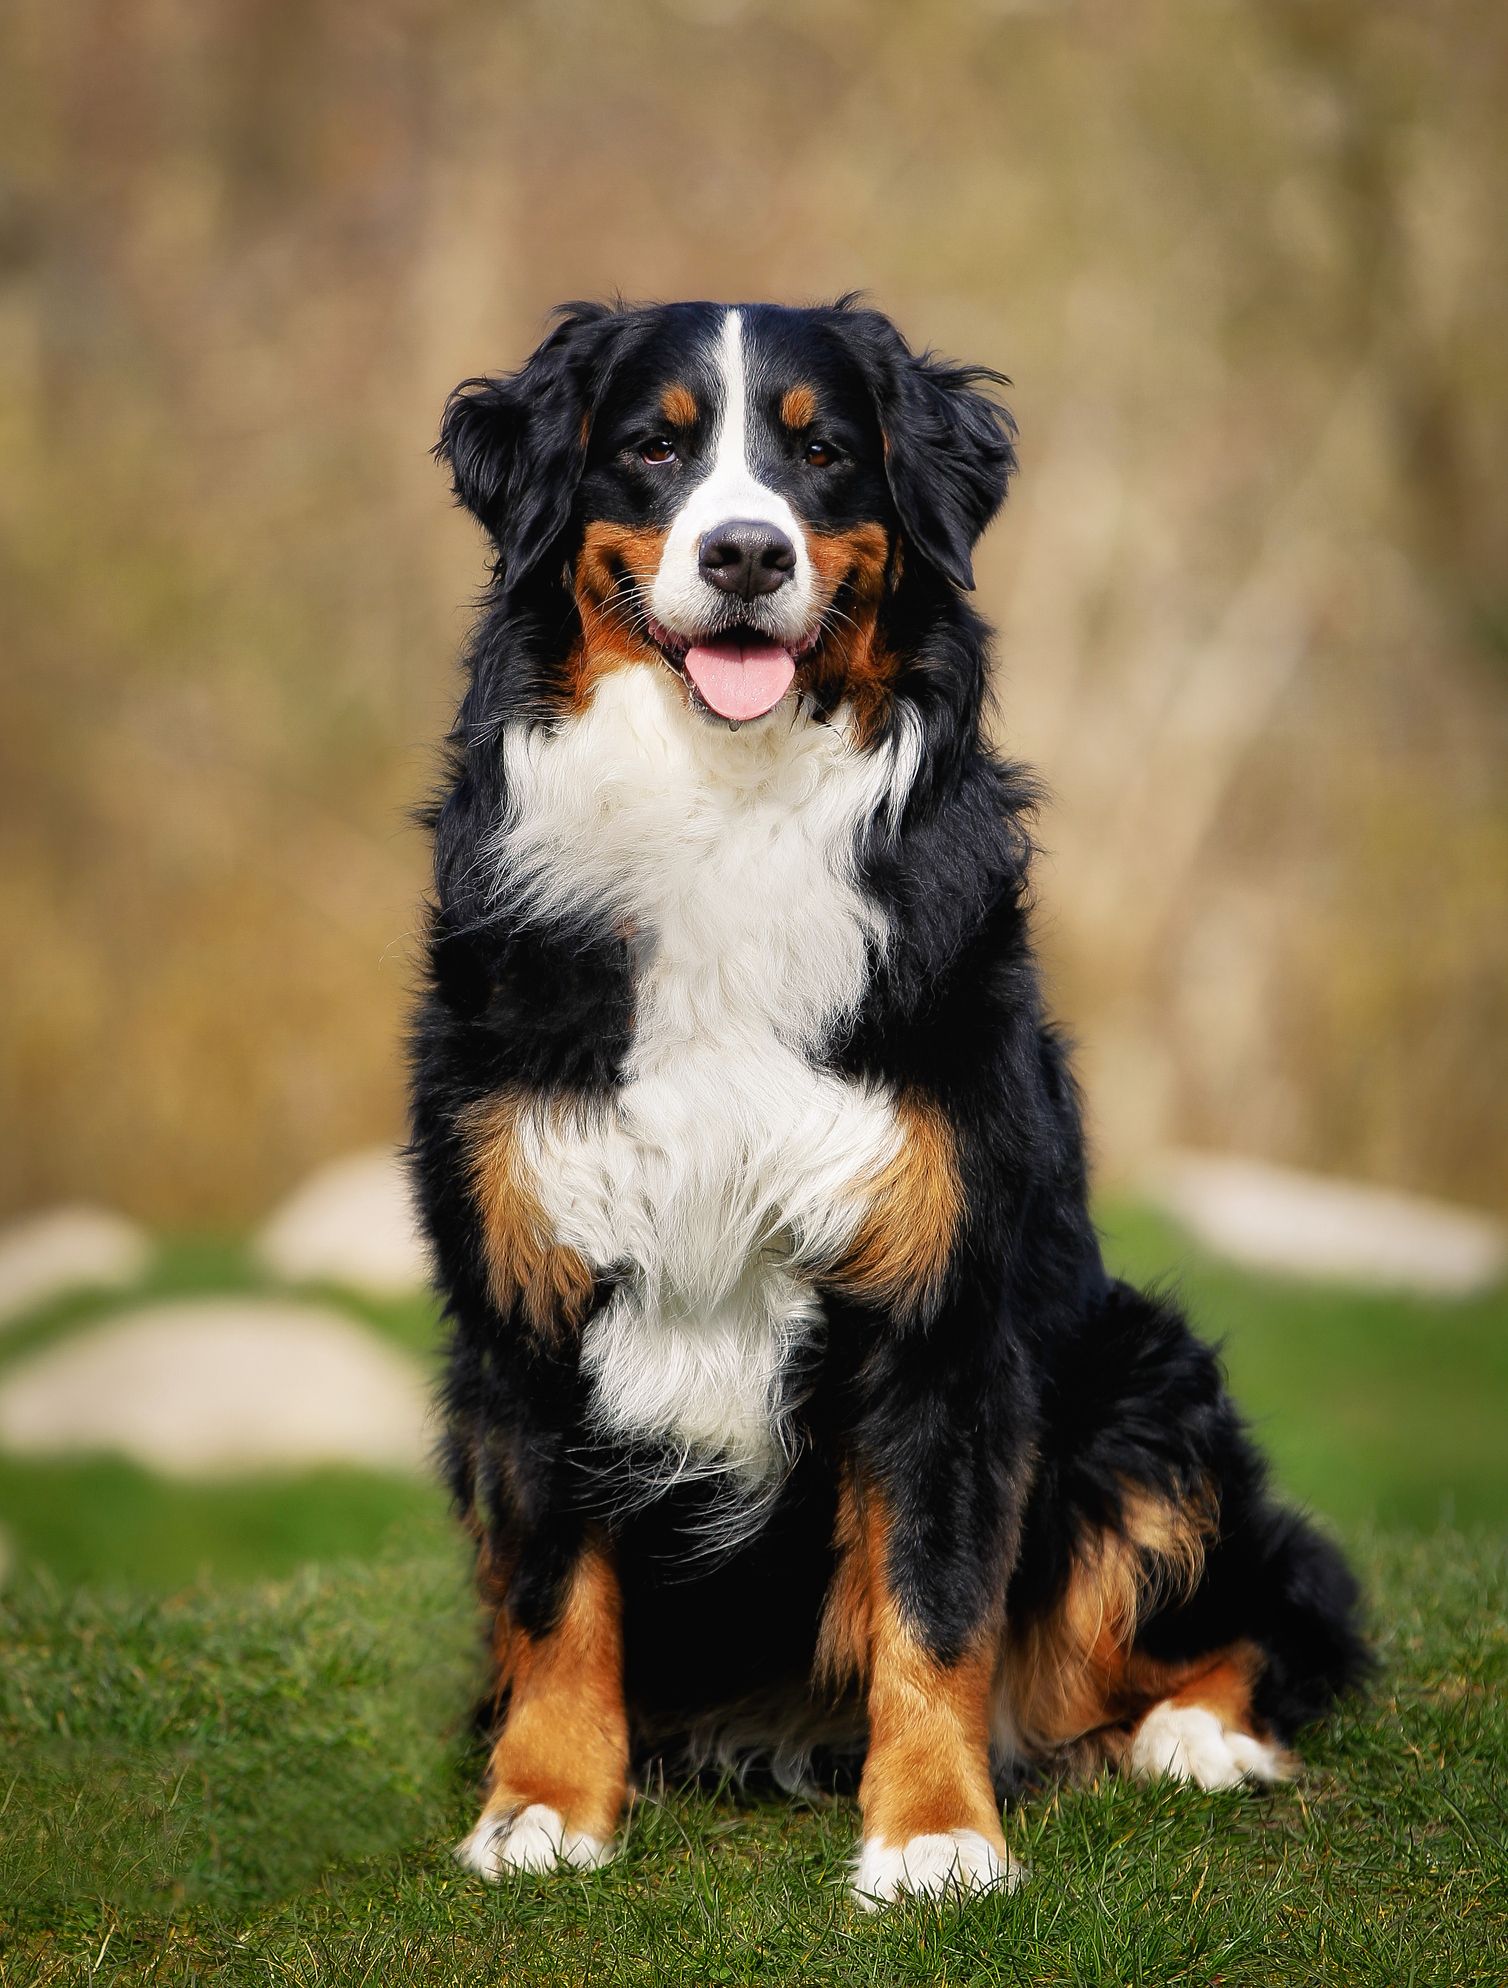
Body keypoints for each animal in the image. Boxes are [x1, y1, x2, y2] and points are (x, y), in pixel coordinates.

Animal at [409, 298, 1366, 1908]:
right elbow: (552, 1589)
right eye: (653, 446)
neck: (723, 811)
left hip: (1143, 1388)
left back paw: (1196, 1736)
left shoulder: (943, 1307)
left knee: (1264, 1617)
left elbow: (933, 1593)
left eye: (823, 452)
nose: (745, 553)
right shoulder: (522, 1301)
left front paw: (931, 1832)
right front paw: (541, 1804)